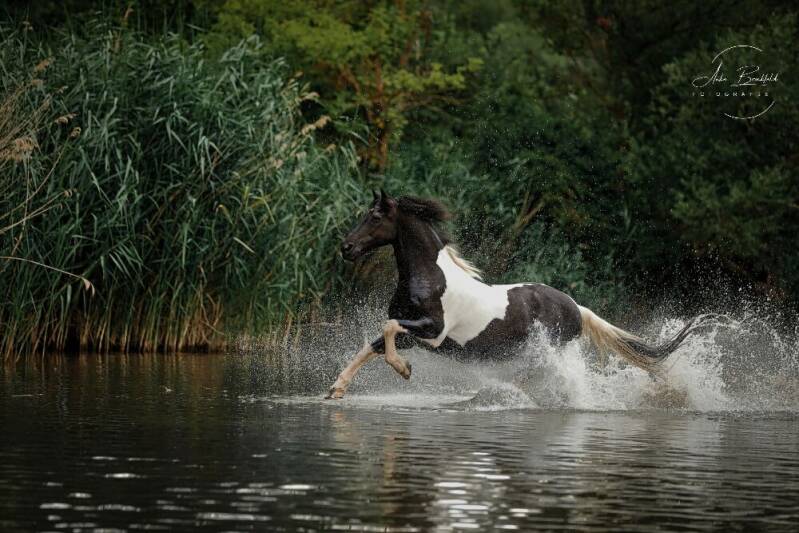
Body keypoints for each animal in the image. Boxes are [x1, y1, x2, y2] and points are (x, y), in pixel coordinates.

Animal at [326, 190, 707, 399]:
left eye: (376, 217)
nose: (346, 248)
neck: (430, 277)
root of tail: (577, 307)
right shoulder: (414, 332)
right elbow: (373, 343)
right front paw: (336, 389)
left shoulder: (433, 332)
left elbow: (388, 328)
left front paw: (404, 370)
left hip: (548, 349)